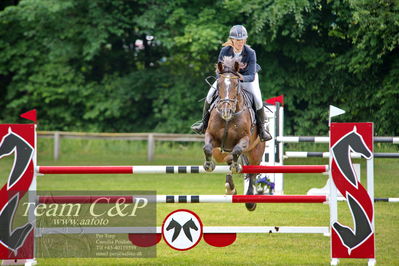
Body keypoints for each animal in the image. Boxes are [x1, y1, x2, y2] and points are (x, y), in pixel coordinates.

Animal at [203, 56, 266, 212]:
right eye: (219, 84)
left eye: (236, 84)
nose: (226, 110)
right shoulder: (211, 136)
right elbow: (207, 148)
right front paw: (208, 165)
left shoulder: (245, 139)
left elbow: (237, 150)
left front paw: (236, 167)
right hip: (222, 153)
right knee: (229, 159)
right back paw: (230, 188)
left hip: (255, 152)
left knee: (252, 172)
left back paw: (250, 202)